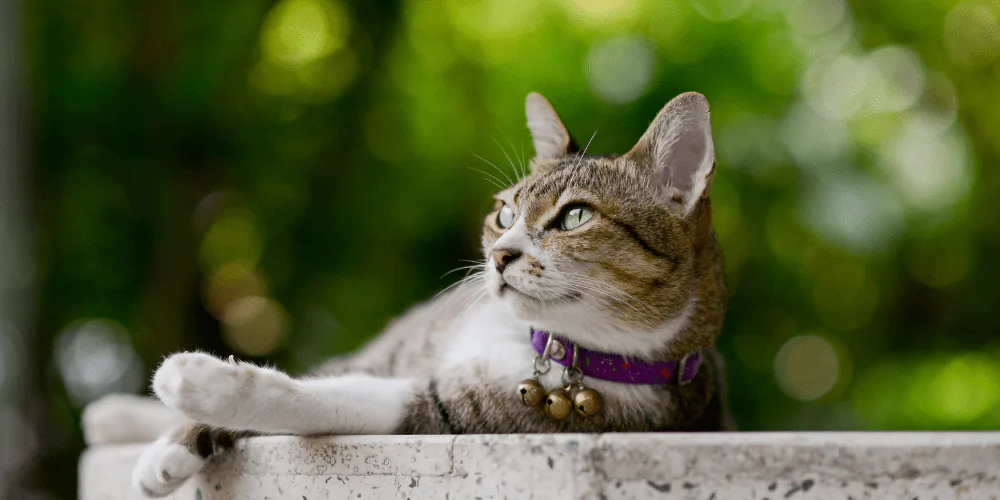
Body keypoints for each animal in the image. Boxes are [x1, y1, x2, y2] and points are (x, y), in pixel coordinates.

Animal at [103, 91, 728, 496]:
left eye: (575, 216)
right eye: (505, 214)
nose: (500, 256)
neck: (539, 343)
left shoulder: (467, 415)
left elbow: (322, 396)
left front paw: (200, 382)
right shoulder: (397, 355)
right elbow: (325, 375)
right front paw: (174, 438)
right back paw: (120, 415)